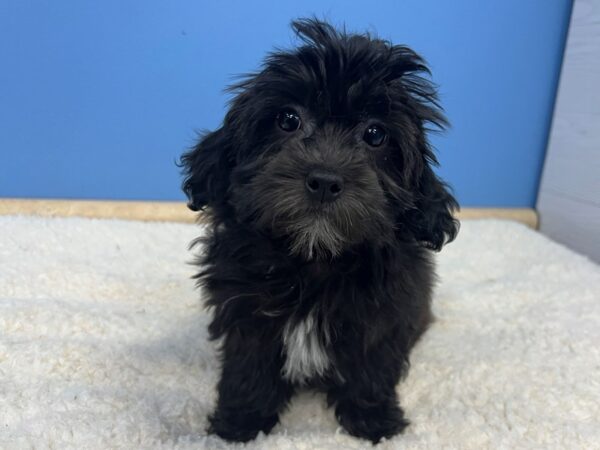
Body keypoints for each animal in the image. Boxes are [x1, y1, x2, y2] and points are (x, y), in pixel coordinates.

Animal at [180, 18, 458, 442]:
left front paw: (374, 422)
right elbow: (249, 368)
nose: (325, 180)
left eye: (375, 134)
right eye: (288, 119)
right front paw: (240, 425)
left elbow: (371, 368)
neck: (314, 258)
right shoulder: (245, 312)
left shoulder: (385, 315)